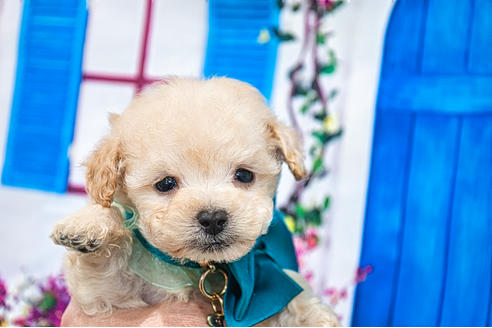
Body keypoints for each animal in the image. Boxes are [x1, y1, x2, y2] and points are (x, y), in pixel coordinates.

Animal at [52, 77, 340, 326]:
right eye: (166, 184)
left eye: (244, 175)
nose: (213, 218)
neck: (202, 267)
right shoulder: (107, 299)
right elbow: (105, 269)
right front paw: (89, 223)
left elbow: (295, 294)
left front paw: (317, 317)